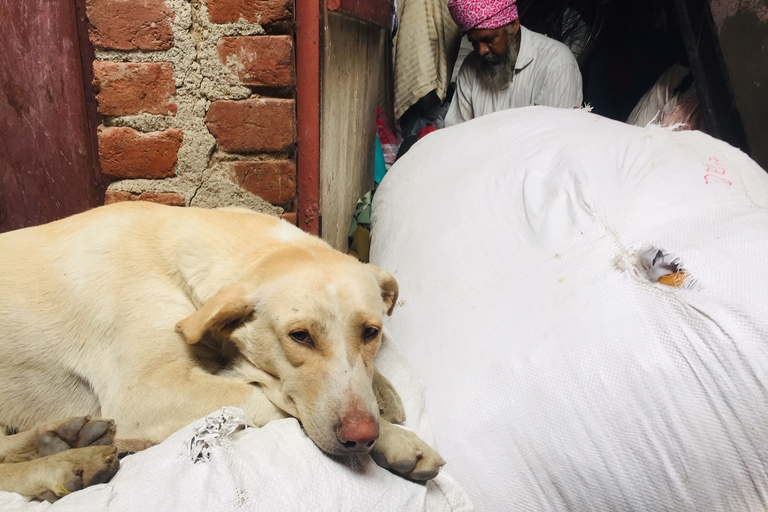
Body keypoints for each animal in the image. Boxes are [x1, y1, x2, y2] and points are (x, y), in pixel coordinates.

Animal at [0, 201, 444, 500]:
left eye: (371, 332)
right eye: (300, 336)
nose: (362, 436)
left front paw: (385, 402)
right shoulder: (144, 395)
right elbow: (273, 403)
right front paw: (395, 437)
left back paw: (67, 440)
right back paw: (68, 462)